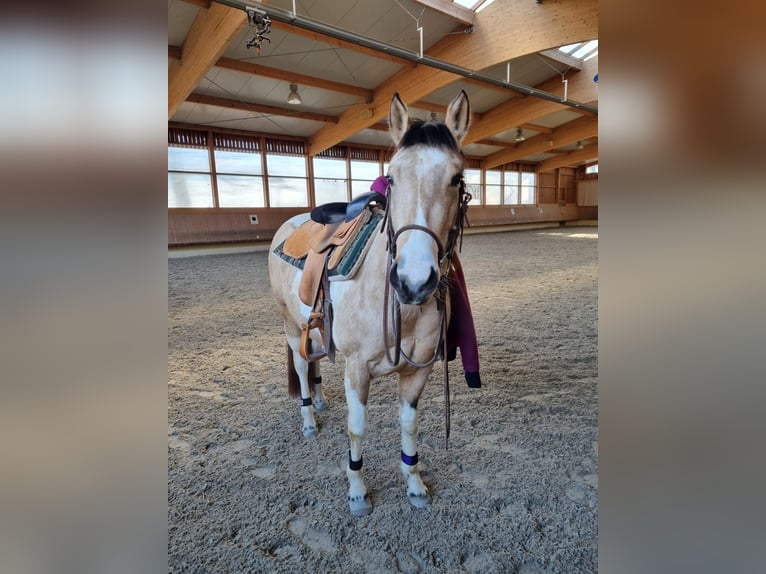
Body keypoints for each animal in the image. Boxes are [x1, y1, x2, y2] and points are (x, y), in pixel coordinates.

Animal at [268, 90, 471, 516]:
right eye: (391, 176)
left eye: (456, 178)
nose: (413, 281)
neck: (399, 306)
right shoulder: (357, 369)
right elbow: (356, 429)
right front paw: (358, 490)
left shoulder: (418, 371)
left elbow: (409, 426)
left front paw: (414, 483)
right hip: (290, 324)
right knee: (301, 363)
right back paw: (309, 418)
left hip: (313, 328)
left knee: (314, 359)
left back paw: (320, 401)